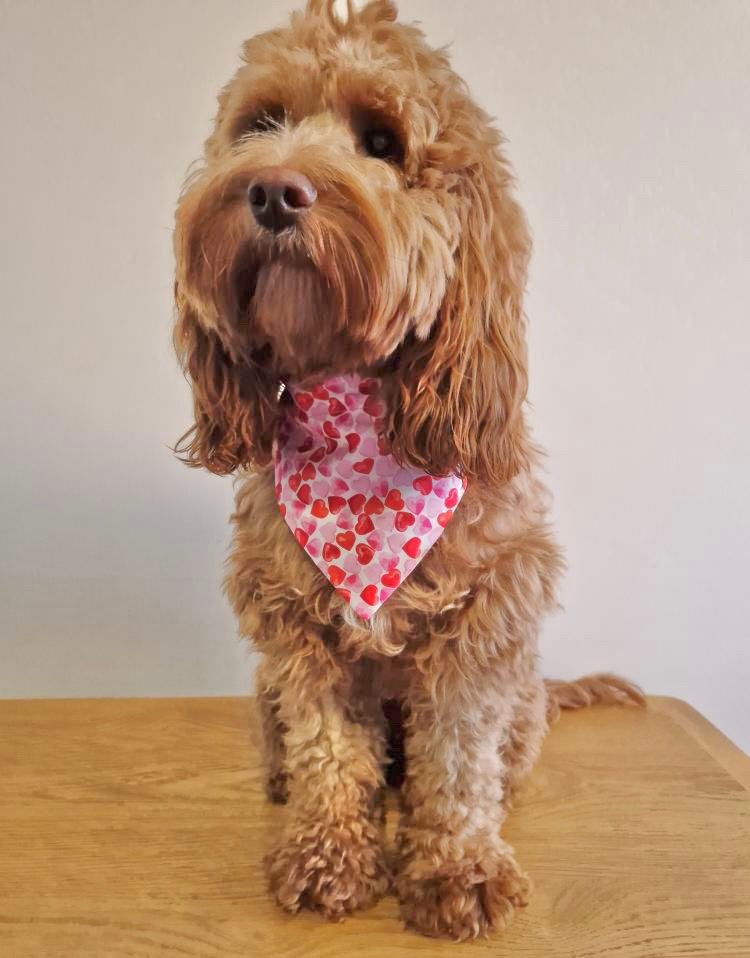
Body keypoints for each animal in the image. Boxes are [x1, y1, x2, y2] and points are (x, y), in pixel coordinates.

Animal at [172, 0, 648, 940]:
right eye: (261, 124)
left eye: (383, 141)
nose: (273, 190)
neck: (357, 420)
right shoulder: (297, 629)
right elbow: (329, 747)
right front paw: (329, 853)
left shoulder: (485, 619)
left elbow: (457, 761)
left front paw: (457, 867)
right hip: (263, 691)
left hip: (524, 695)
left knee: (486, 762)